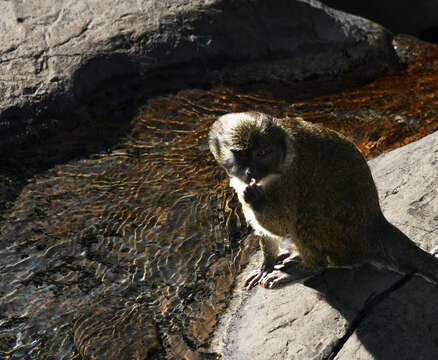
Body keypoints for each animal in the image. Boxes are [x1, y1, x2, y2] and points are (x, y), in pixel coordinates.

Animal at [208, 112, 438, 290]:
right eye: (241, 155)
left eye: (261, 153)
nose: (250, 172)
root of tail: (376, 226)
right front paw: (267, 264)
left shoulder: (289, 178)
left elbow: (281, 226)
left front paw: (255, 199)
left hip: (343, 238)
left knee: (304, 218)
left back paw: (310, 267)